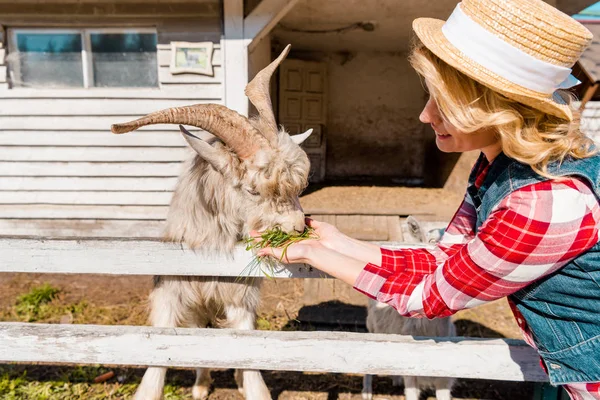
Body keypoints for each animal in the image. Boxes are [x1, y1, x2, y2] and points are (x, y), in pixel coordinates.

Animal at [109, 43, 312, 400]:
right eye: (252, 189)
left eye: (297, 187)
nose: (298, 228)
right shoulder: (170, 291)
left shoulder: (240, 297)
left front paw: (250, 385)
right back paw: (201, 385)